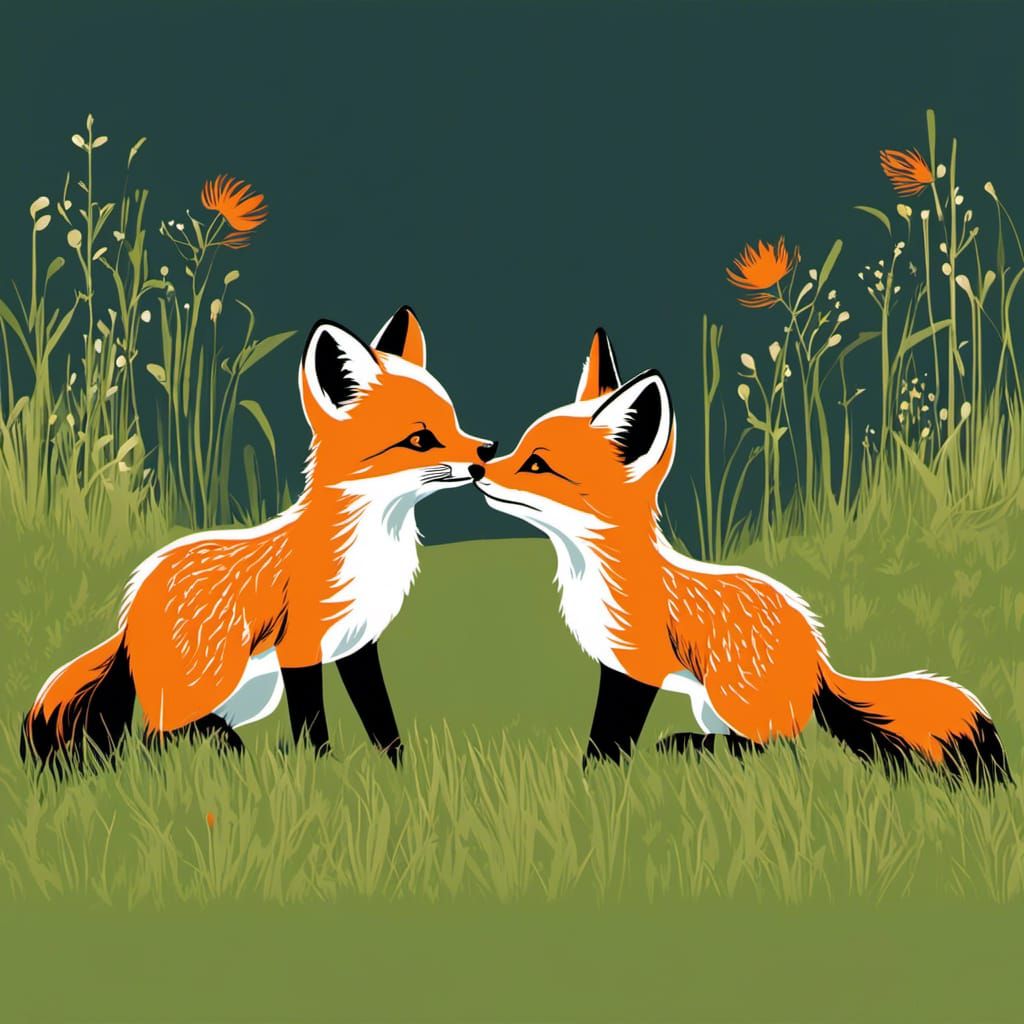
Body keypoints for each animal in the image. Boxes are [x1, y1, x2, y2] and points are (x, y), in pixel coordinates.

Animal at [22, 306, 495, 770]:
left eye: (454, 423)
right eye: (420, 439)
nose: (486, 455)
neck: (369, 544)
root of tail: (127, 613)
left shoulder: (358, 643)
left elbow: (380, 717)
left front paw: (396, 771)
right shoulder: (300, 645)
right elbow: (312, 719)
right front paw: (321, 772)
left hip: (255, 691)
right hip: (216, 678)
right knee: (156, 737)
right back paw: (228, 753)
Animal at [474, 328, 1011, 784]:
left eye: (536, 465)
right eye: (518, 448)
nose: (479, 468)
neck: (599, 572)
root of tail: (820, 664)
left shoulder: (635, 670)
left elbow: (608, 739)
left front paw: (595, 783)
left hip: (730, 697)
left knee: (772, 752)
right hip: (711, 704)